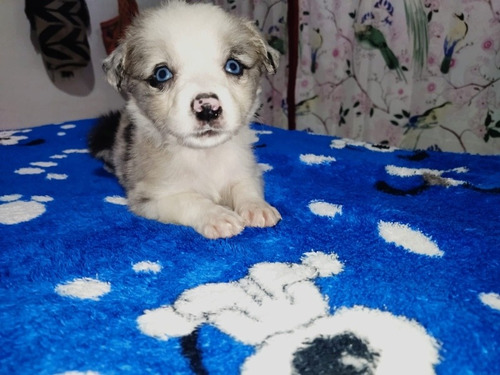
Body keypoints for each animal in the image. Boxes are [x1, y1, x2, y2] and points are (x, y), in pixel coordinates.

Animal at [89, 0, 282, 241]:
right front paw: (218, 215)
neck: (205, 155)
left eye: (233, 66)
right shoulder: (152, 197)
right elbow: (190, 199)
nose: (208, 109)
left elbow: (245, 186)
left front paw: (257, 207)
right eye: (161, 74)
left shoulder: (245, 170)